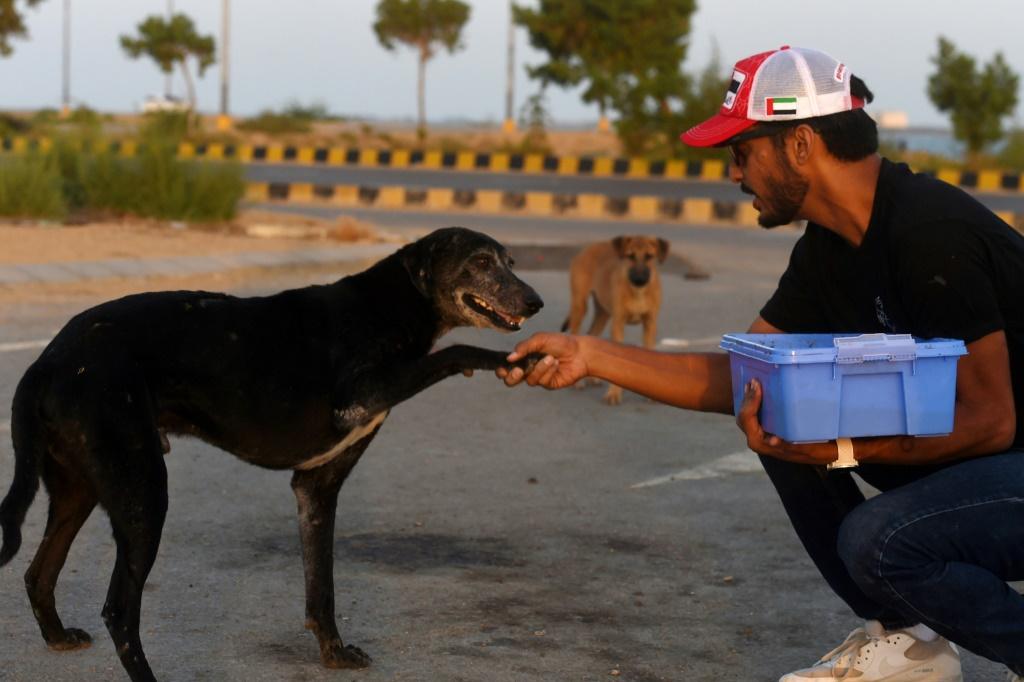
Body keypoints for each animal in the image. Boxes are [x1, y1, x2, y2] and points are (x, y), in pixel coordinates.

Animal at [0, 225, 544, 675]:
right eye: (480, 262)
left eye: (511, 261)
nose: (536, 302)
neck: (391, 304)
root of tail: (48, 361)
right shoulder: (360, 396)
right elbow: (455, 351)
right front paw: (512, 360)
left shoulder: (316, 488)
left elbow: (321, 588)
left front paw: (333, 653)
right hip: (143, 493)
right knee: (118, 610)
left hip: (81, 490)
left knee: (37, 573)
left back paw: (57, 636)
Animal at [565, 235, 667, 403]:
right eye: (630, 256)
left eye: (649, 256)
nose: (640, 279)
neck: (638, 292)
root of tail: (586, 249)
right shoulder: (618, 323)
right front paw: (613, 394)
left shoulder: (650, 324)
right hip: (580, 306)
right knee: (574, 334)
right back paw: (578, 383)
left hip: (603, 313)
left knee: (591, 334)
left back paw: (592, 378)